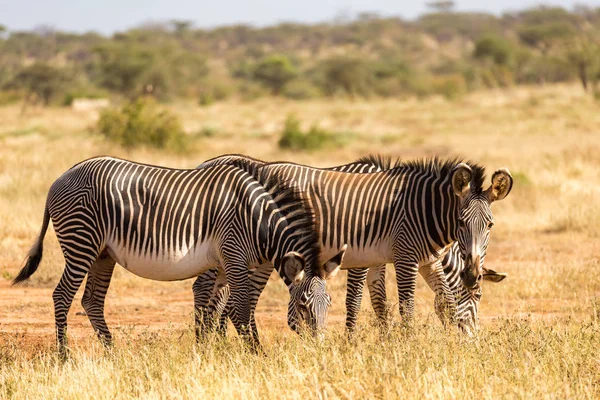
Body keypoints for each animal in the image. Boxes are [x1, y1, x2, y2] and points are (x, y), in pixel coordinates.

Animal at [11, 155, 344, 354]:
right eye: (301, 306)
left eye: (329, 304)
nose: (320, 351)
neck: (257, 219)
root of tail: (62, 175)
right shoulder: (235, 258)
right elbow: (241, 310)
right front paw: (257, 355)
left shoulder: (222, 265)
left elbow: (212, 309)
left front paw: (209, 352)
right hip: (81, 243)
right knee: (62, 296)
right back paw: (64, 355)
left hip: (102, 253)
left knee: (91, 300)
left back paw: (111, 353)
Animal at [195, 153, 512, 332]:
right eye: (460, 222)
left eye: (490, 225)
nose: (472, 339)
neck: (418, 208)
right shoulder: (393, 257)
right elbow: (370, 303)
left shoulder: (410, 260)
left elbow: (396, 303)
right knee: (213, 293)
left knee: (226, 297)